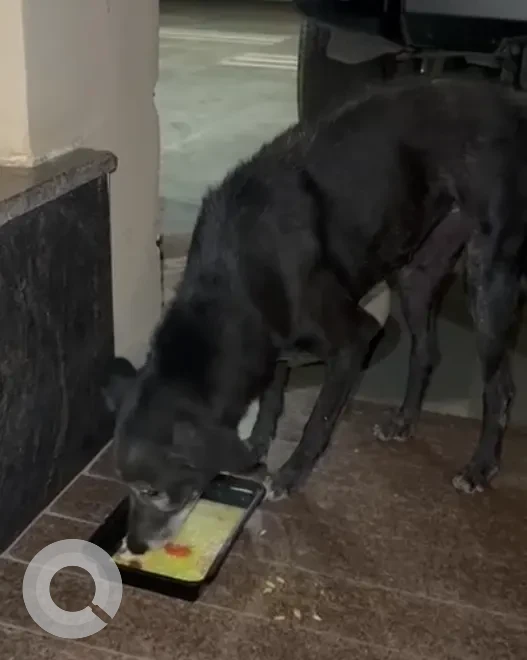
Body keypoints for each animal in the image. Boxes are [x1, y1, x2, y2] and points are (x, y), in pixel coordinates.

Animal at [104, 78, 527, 553]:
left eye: (152, 490)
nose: (134, 546)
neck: (235, 274)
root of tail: (510, 99)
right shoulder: (270, 340)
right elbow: (271, 399)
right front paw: (256, 446)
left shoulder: (355, 339)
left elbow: (317, 421)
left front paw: (289, 474)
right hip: (416, 272)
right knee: (427, 351)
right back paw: (404, 421)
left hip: (487, 277)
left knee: (501, 388)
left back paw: (481, 467)